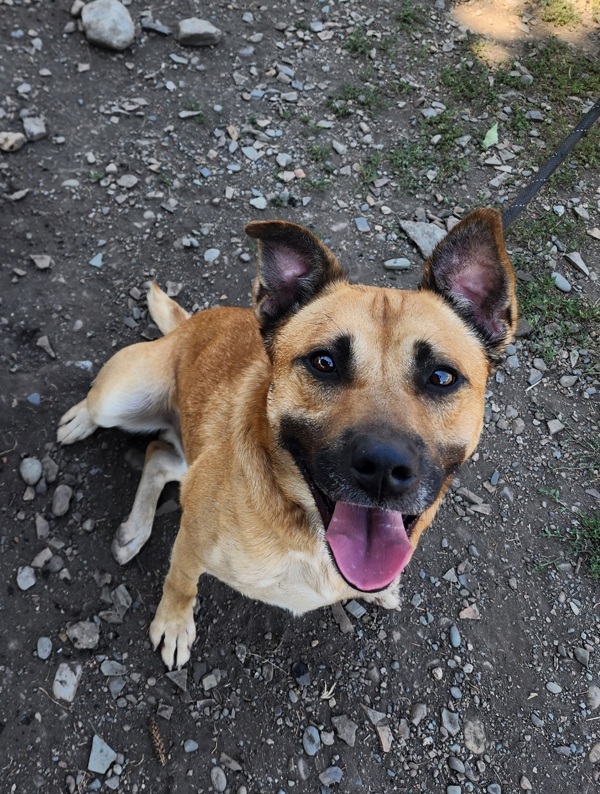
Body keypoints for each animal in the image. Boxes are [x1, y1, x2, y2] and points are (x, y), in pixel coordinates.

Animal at [55, 207, 516, 664]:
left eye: (441, 377)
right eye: (324, 363)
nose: (383, 468)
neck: (309, 533)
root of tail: (187, 326)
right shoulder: (191, 544)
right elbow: (180, 582)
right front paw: (173, 623)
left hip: (187, 452)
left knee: (156, 454)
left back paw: (133, 529)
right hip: (120, 397)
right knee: (109, 413)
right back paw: (80, 424)